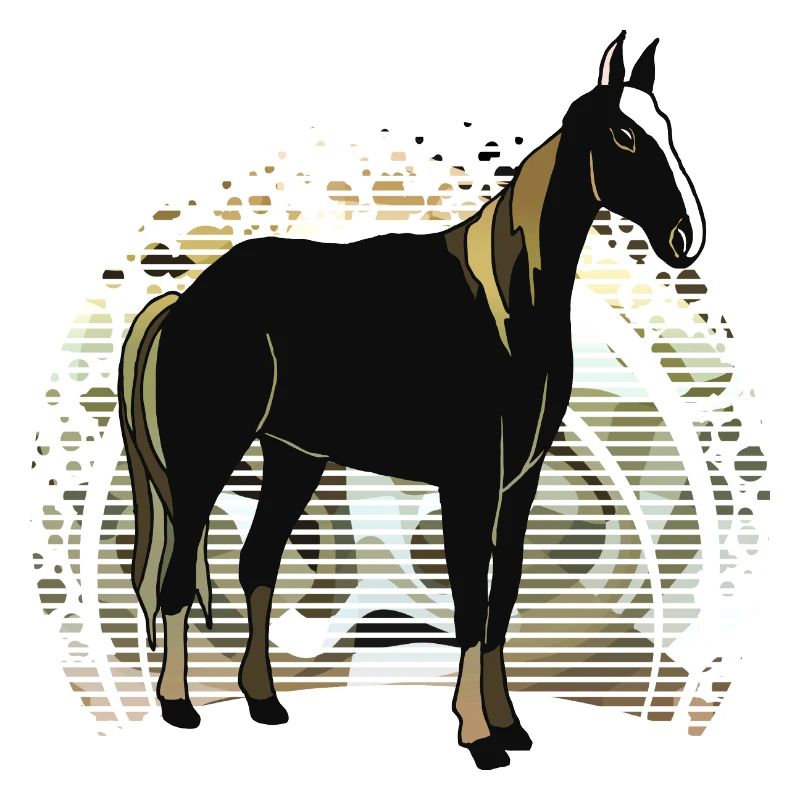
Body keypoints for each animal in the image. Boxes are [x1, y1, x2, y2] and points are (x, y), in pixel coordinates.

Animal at [118, 31, 705, 770]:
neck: (506, 308)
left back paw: (265, 702)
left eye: (669, 129)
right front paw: (479, 737)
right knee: (177, 575)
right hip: (206, 461)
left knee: (258, 565)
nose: (685, 238)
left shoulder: (520, 484)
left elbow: (502, 600)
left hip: (293, 459)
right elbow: (470, 604)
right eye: (624, 135)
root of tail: (186, 300)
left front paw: (510, 726)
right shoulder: (471, 482)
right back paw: (179, 706)